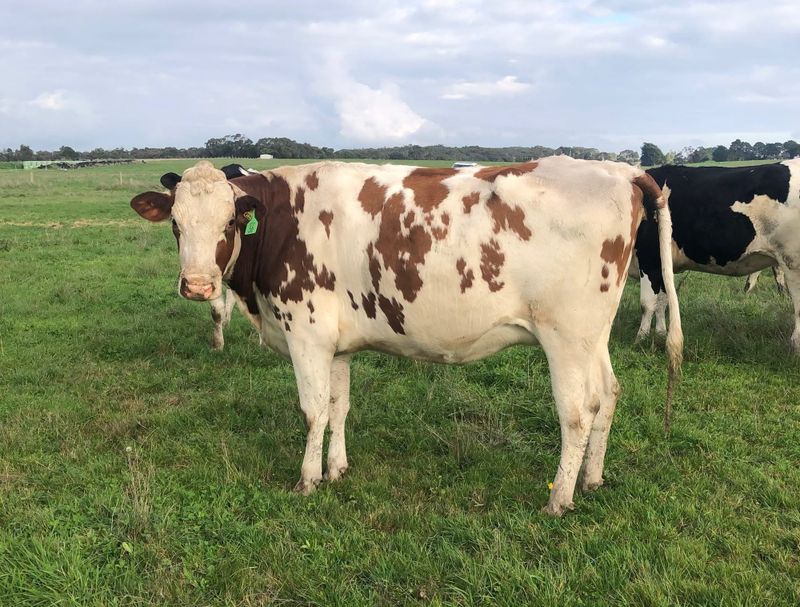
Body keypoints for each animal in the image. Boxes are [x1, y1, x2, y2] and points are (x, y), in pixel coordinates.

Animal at [130, 157, 682, 516]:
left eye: (230, 221)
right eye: (176, 224)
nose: (198, 286)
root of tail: (620, 169)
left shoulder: (307, 334)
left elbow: (312, 410)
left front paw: (307, 480)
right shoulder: (337, 343)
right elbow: (338, 406)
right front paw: (336, 469)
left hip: (565, 335)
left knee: (578, 410)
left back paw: (559, 498)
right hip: (593, 335)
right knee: (608, 394)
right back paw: (591, 480)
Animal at [632, 161, 800, 347]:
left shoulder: (649, 258)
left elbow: (647, 304)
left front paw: (640, 339)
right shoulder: (661, 265)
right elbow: (662, 302)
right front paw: (660, 334)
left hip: (793, 263)